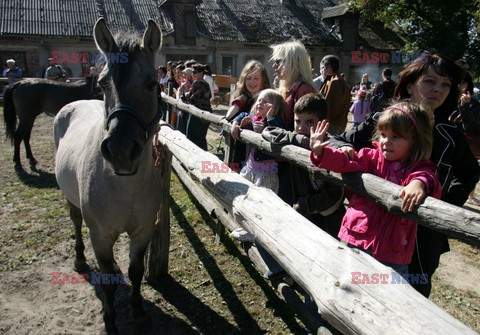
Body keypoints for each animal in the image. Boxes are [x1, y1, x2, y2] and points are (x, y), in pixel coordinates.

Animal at [54, 18, 163, 334]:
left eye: (152, 83)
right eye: (103, 83)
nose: (120, 151)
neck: (126, 186)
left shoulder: (143, 231)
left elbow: (136, 271)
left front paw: (139, 312)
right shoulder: (100, 236)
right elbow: (107, 284)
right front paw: (110, 322)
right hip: (71, 202)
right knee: (75, 222)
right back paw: (79, 260)